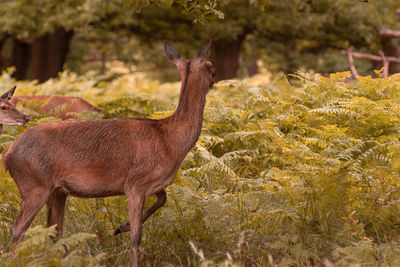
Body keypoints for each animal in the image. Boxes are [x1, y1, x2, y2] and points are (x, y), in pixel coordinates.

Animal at [2, 40, 216, 266]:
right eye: (210, 66)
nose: (216, 74)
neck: (170, 140)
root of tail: (7, 152)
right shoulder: (136, 182)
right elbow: (137, 235)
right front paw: (128, 241)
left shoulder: (150, 183)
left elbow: (163, 198)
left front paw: (121, 227)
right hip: (34, 184)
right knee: (18, 229)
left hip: (57, 190)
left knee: (54, 232)